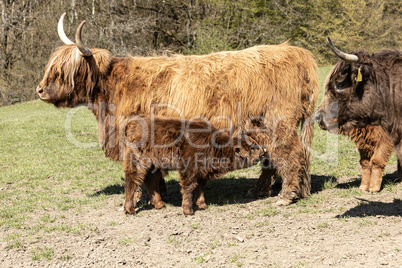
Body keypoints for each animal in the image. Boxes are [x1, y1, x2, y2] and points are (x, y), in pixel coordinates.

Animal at [122, 115, 264, 216]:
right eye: (254, 146)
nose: (264, 151)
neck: (214, 145)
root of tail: (132, 123)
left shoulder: (202, 173)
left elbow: (199, 188)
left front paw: (202, 205)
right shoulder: (189, 169)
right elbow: (189, 188)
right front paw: (188, 210)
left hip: (153, 165)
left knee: (150, 180)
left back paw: (159, 204)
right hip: (138, 161)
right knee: (131, 180)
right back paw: (130, 209)